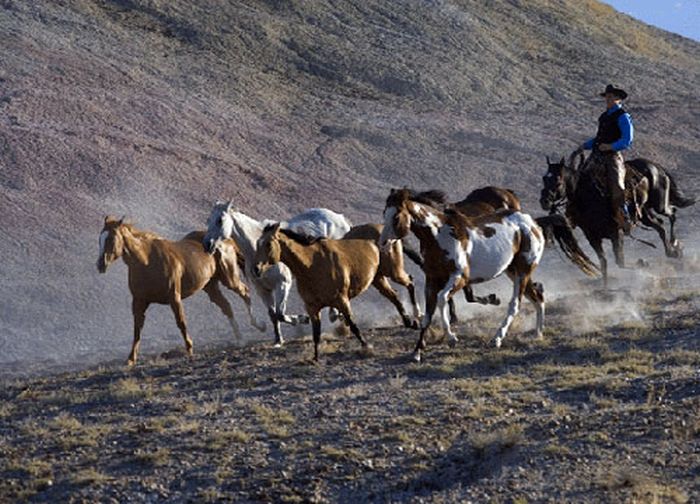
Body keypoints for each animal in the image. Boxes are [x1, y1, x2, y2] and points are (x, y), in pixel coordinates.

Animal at [95, 217, 254, 366]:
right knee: (226, 306)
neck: (147, 262)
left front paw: (189, 349)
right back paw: (240, 339)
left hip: (229, 279)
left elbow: (181, 322)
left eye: (110, 238)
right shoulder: (139, 301)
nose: (100, 265)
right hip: (210, 286)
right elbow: (137, 328)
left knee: (245, 293)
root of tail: (226, 240)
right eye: (100, 238)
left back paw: (256, 325)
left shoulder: (174, 297)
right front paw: (130, 359)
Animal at [205, 201, 352, 346]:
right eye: (208, 220)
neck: (256, 250)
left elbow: (280, 313)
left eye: (220, 220)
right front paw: (278, 339)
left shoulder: (282, 284)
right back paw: (335, 315)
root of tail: (341, 219)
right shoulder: (263, 290)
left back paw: (337, 316)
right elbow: (273, 314)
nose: (207, 244)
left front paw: (302, 319)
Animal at [254, 222, 380, 360]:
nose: (256, 269)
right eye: (258, 243)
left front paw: (367, 347)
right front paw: (315, 358)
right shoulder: (312, 307)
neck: (312, 266)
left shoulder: (342, 300)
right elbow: (316, 334)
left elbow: (354, 326)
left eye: (268, 244)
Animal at [378, 190, 548, 362]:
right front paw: (417, 352)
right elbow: (427, 315)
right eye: (384, 213)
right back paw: (537, 333)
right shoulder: (431, 280)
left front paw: (452, 338)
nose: (382, 244)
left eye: (396, 216)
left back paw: (497, 339)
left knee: (515, 304)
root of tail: (532, 224)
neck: (440, 235)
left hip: (523, 272)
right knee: (537, 296)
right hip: (513, 271)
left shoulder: (460, 277)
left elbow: (442, 299)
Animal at [540, 154, 692, 288]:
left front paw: (643, 263)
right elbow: (603, 262)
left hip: (659, 204)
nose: (544, 201)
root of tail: (655, 166)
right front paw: (605, 287)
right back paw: (672, 251)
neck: (590, 197)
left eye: (558, 181)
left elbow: (620, 261)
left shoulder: (616, 233)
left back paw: (676, 245)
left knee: (672, 214)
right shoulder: (592, 237)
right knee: (660, 226)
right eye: (544, 179)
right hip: (644, 214)